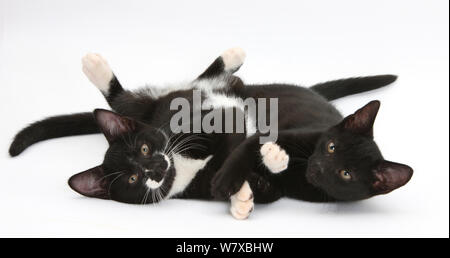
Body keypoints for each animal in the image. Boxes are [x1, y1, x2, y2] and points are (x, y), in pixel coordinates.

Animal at [8, 46, 414, 220]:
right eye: (133, 178)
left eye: (144, 150)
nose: (155, 168)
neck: (183, 165)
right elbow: (252, 183)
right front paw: (242, 198)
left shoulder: (209, 126)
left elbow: (237, 139)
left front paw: (253, 176)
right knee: (126, 100)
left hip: (177, 100)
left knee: (141, 97)